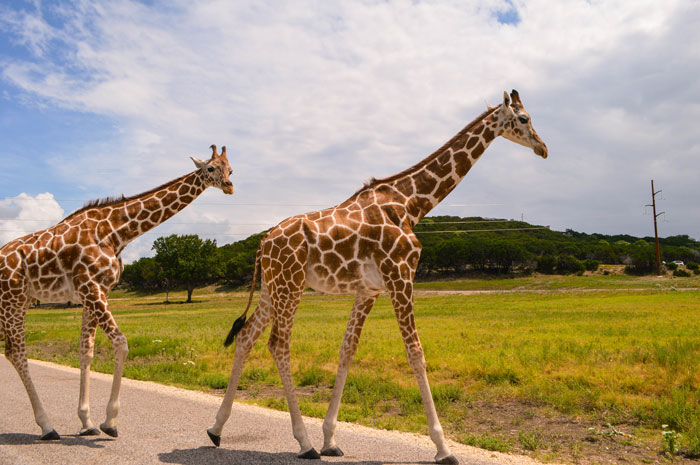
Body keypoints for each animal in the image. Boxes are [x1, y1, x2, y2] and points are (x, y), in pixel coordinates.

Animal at [0, 145, 233, 440]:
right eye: (211, 168)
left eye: (231, 169)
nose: (229, 186)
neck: (116, 232)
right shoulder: (90, 286)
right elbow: (121, 344)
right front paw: (110, 422)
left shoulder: (94, 292)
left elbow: (85, 351)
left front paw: (87, 422)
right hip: (13, 299)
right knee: (18, 353)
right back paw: (47, 426)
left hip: (17, 301)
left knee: (11, 351)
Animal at [207, 90, 547, 464]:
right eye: (524, 118)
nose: (543, 148)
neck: (412, 203)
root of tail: (262, 243)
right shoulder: (401, 275)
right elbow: (416, 354)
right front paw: (443, 448)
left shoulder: (369, 290)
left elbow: (347, 350)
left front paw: (331, 438)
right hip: (290, 285)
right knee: (278, 344)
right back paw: (303, 442)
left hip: (272, 288)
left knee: (246, 337)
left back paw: (216, 429)